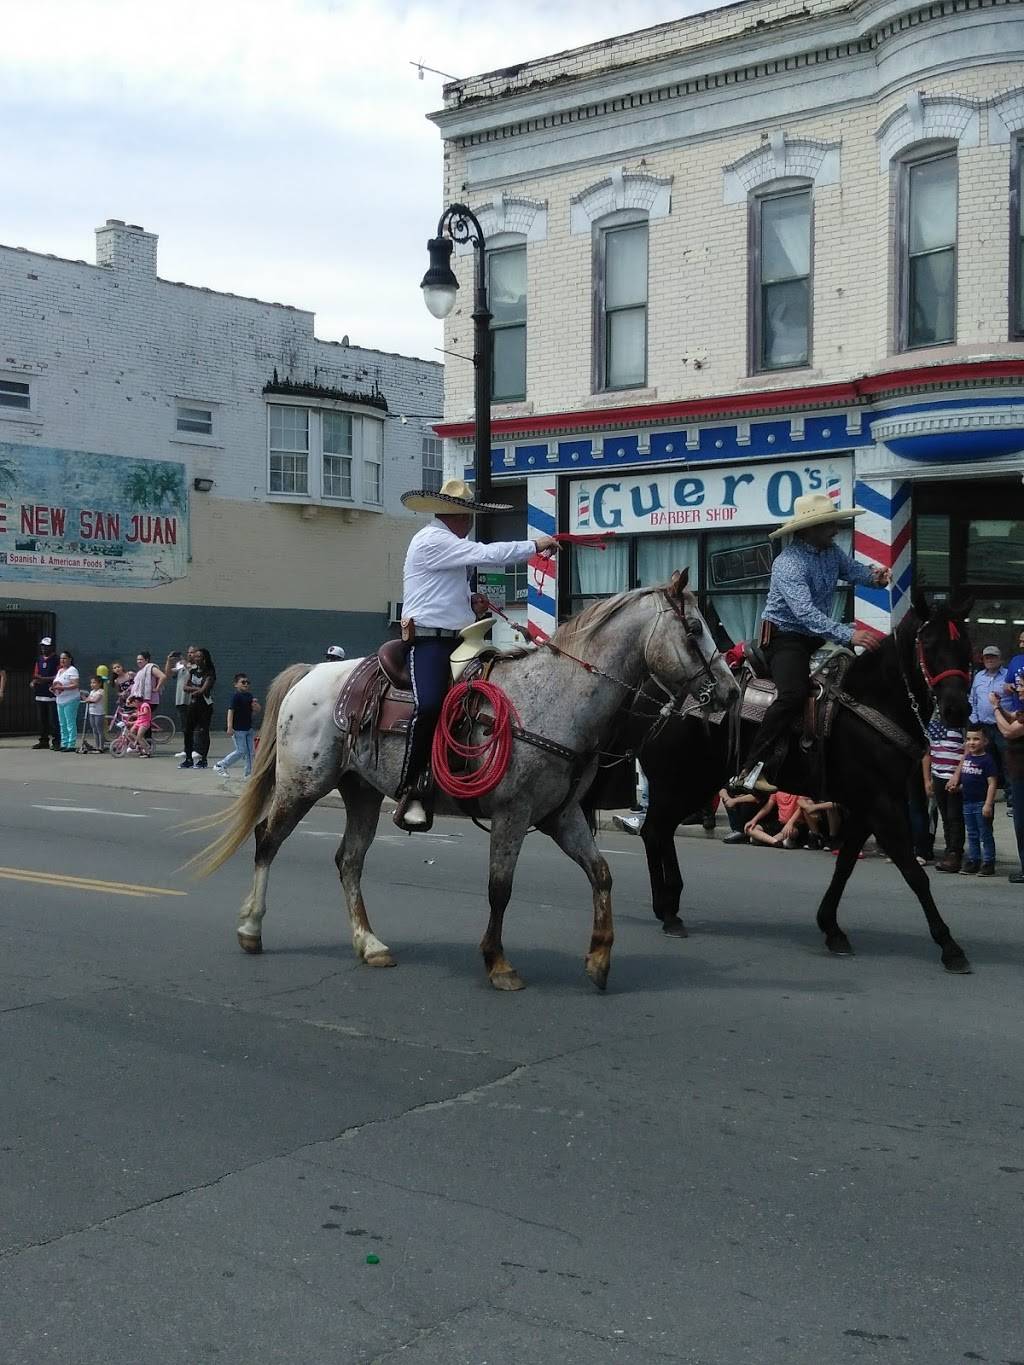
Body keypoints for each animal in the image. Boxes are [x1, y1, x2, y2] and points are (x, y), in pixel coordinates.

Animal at [191, 567, 737, 993]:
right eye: (694, 628)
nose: (730, 692)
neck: (555, 696)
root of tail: (310, 673)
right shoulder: (512, 816)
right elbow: (500, 889)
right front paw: (498, 964)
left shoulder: (561, 816)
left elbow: (601, 874)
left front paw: (599, 958)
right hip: (302, 784)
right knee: (267, 840)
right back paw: (251, 929)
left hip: (360, 792)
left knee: (349, 860)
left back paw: (370, 944)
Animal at [589, 595, 972, 971]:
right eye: (929, 644)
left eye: (965, 646)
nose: (957, 710)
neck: (869, 704)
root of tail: (647, 694)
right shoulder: (881, 804)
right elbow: (913, 872)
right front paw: (950, 946)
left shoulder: (868, 806)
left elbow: (845, 864)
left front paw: (831, 927)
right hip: (676, 782)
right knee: (655, 830)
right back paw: (668, 912)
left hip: (693, 784)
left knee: (660, 830)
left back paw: (669, 904)